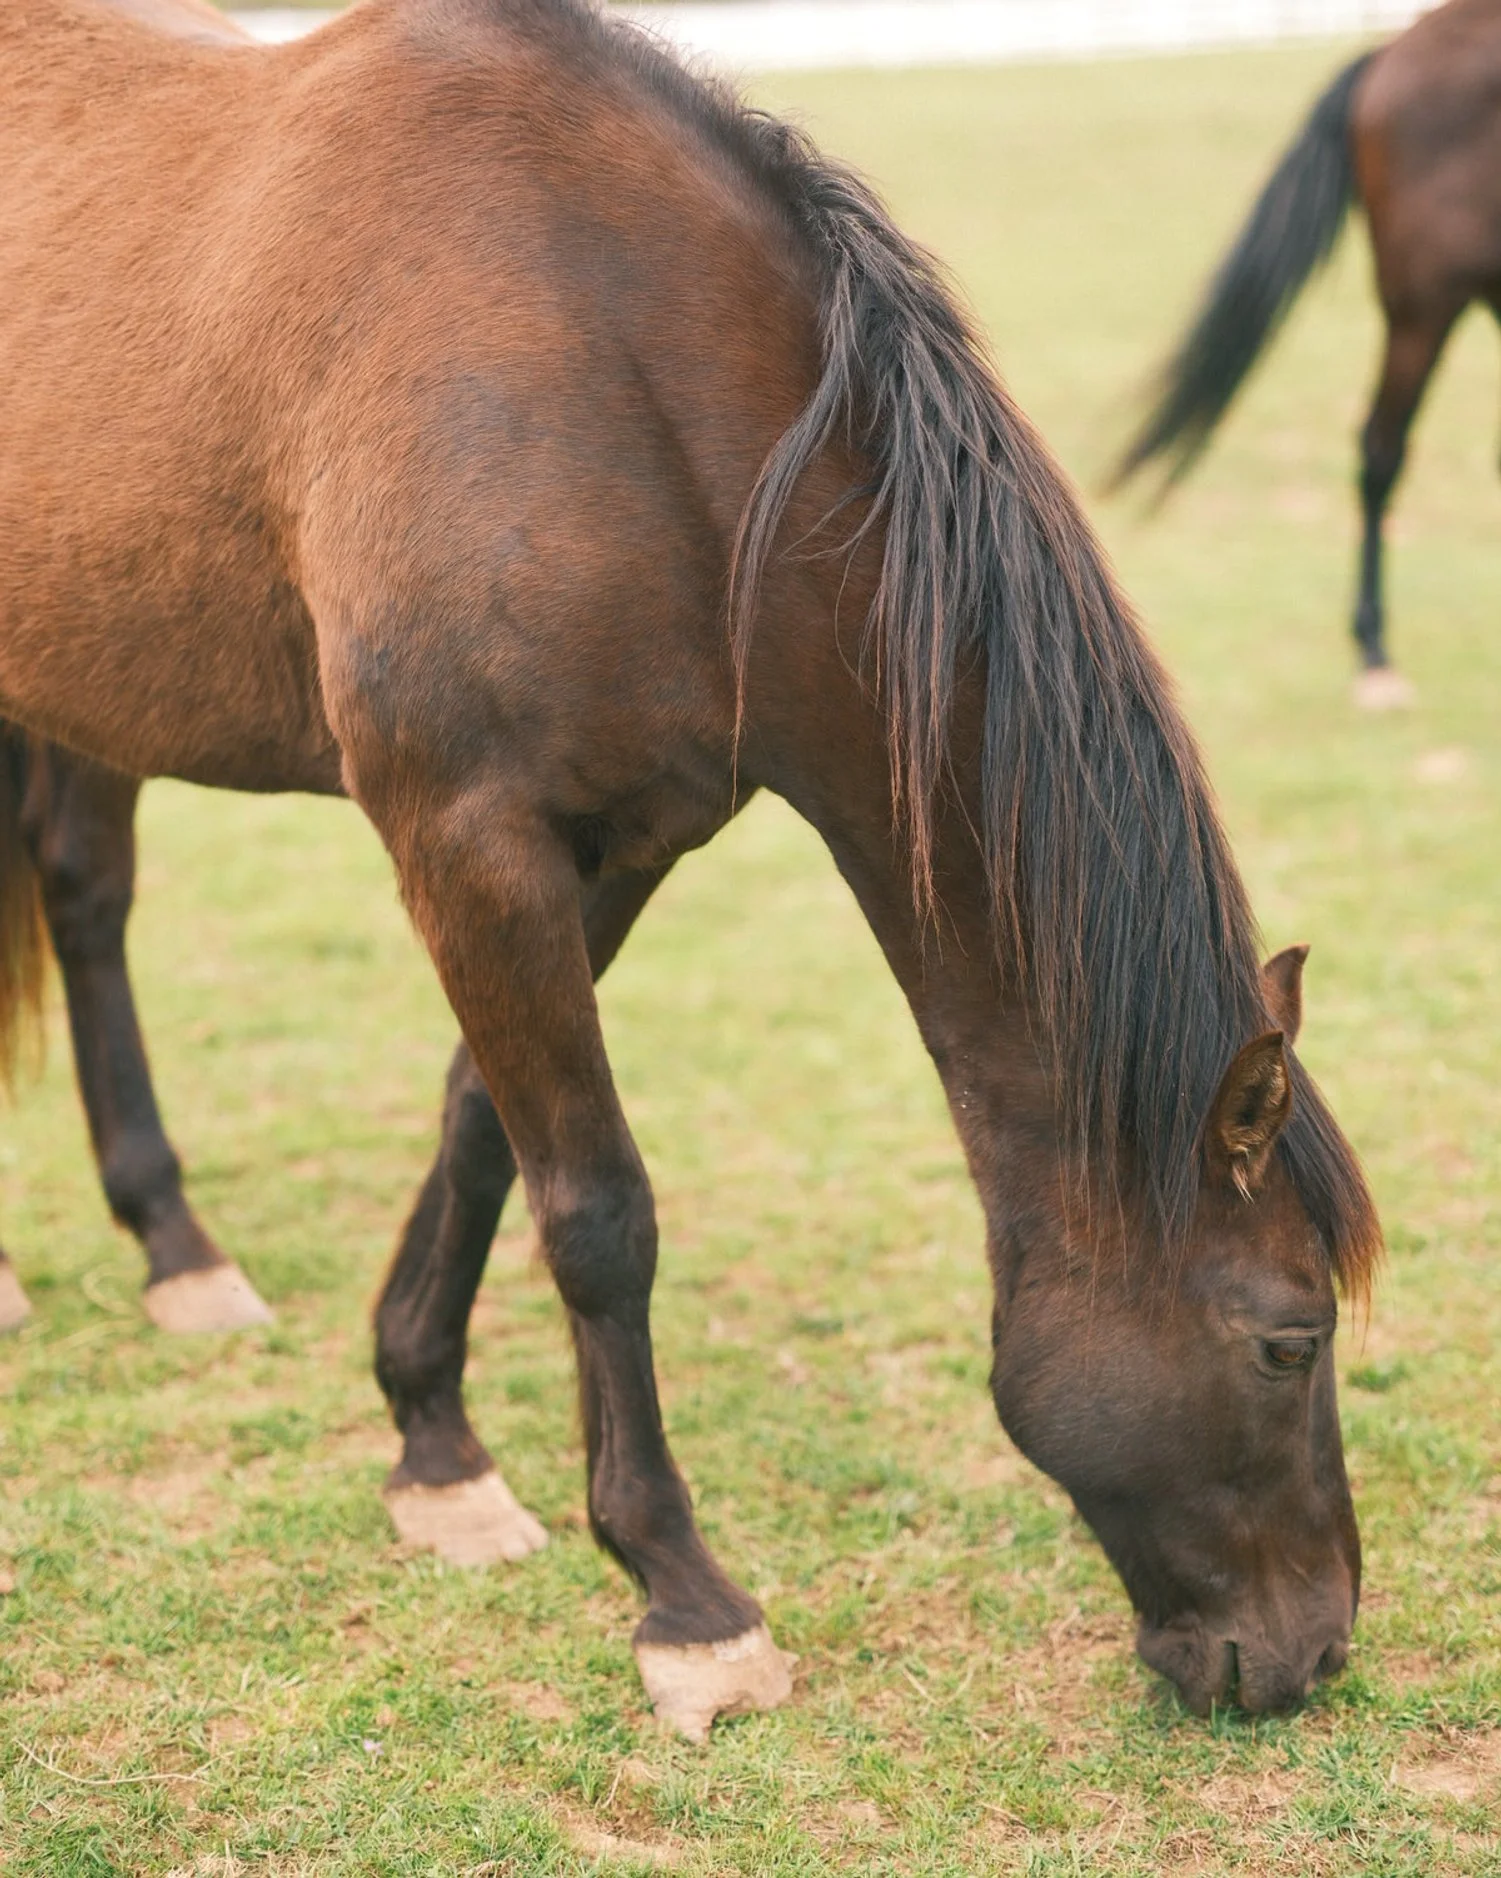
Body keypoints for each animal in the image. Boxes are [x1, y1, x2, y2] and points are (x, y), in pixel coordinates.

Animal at [0, 0, 1383, 1737]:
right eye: (1288, 1337)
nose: (1314, 1648)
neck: (613, 374)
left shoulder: (619, 841)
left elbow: (483, 1125)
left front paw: (432, 1443)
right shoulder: (468, 833)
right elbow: (598, 1208)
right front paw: (684, 1599)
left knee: (80, 890)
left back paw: (174, 1252)